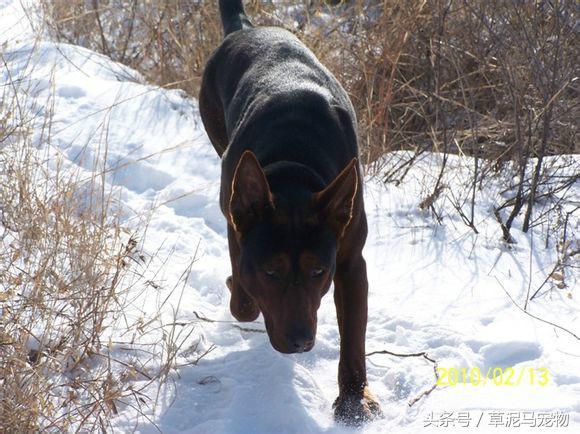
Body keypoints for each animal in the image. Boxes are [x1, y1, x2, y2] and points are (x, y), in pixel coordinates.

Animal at [199, 0, 380, 424]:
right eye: (270, 272)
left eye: (319, 272)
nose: (299, 343)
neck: (294, 173)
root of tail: (244, 28)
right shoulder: (237, 224)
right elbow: (243, 294)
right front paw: (237, 289)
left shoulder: (350, 260)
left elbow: (353, 336)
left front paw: (353, 400)